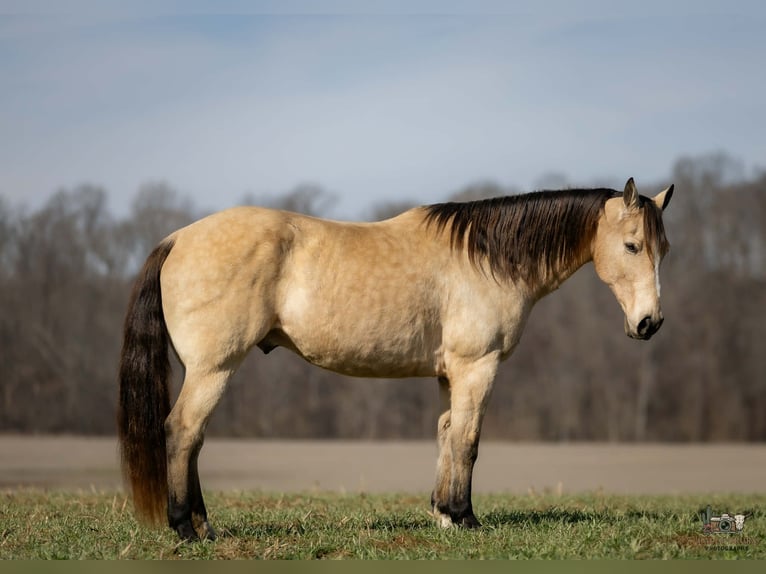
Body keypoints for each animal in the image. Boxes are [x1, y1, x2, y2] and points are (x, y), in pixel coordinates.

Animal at [118, 177, 673, 540]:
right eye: (632, 245)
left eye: (663, 249)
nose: (649, 323)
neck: (486, 258)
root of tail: (177, 239)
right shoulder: (478, 366)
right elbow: (469, 441)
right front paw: (466, 517)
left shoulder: (450, 373)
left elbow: (446, 433)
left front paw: (443, 513)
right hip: (214, 368)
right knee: (183, 432)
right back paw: (185, 528)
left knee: (193, 439)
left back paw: (203, 525)